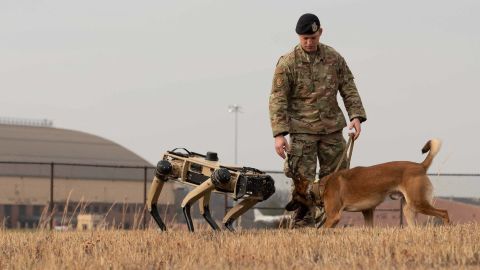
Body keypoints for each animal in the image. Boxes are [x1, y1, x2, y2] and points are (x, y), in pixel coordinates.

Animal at [288, 139, 450, 228]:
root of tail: (420, 166)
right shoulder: (367, 211)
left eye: (294, 196)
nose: (286, 207)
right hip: (408, 209)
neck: (320, 187)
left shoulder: (334, 216)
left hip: (418, 203)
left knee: (444, 213)